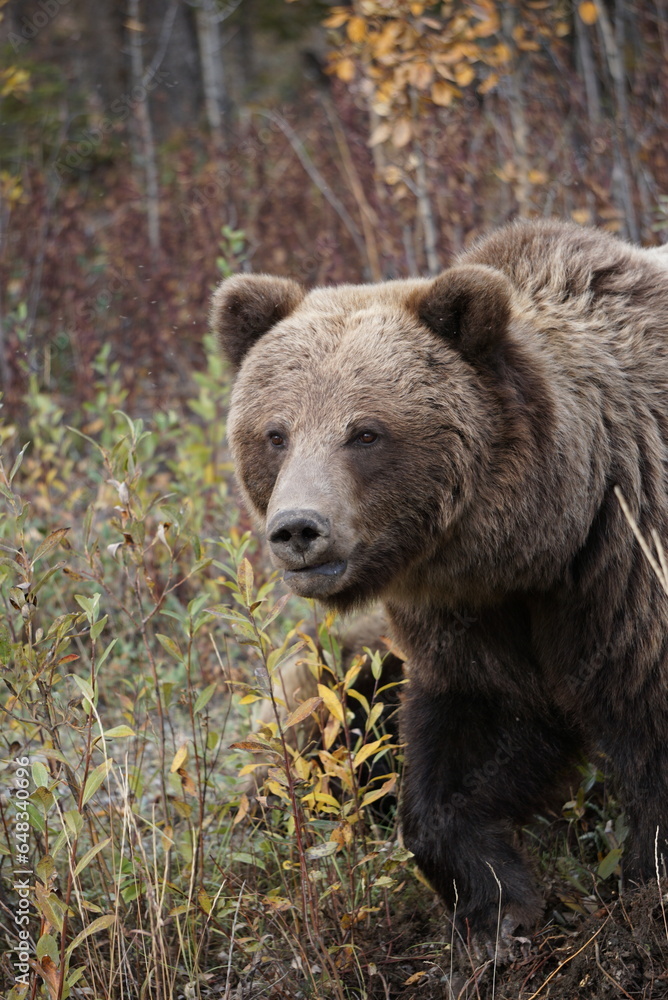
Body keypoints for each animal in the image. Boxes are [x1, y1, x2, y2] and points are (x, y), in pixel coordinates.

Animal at [211, 221, 668, 936]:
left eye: (365, 433)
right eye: (275, 433)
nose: (297, 529)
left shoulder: (626, 575)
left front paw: (643, 892)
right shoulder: (474, 609)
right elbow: (475, 736)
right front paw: (498, 909)